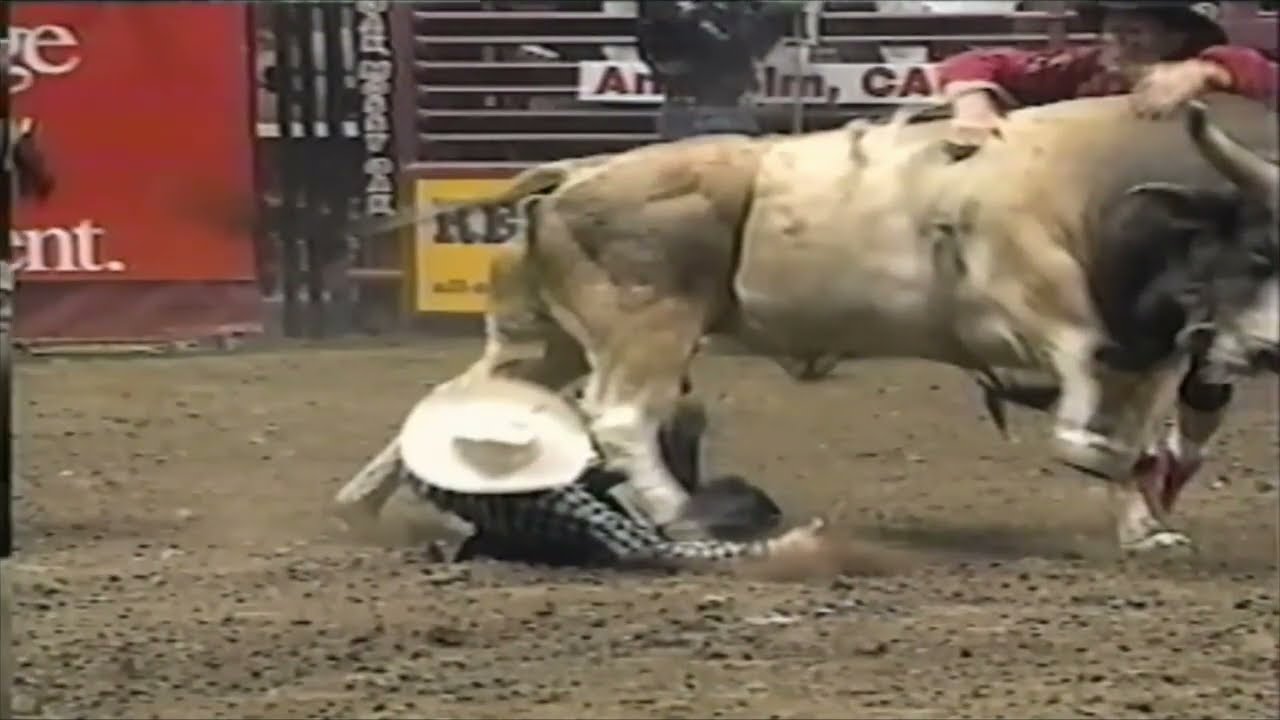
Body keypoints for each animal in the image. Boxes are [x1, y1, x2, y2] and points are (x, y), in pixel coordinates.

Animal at [406, 94, 1278, 554]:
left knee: (464, 402)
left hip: (541, 338)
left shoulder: (1147, 356)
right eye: (1259, 246)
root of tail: (576, 173)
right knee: (622, 417)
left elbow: (1133, 441)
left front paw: (1146, 528)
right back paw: (681, 519)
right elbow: (1089, 427)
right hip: (646, 323)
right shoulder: (1043, 317)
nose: (1269, 349)